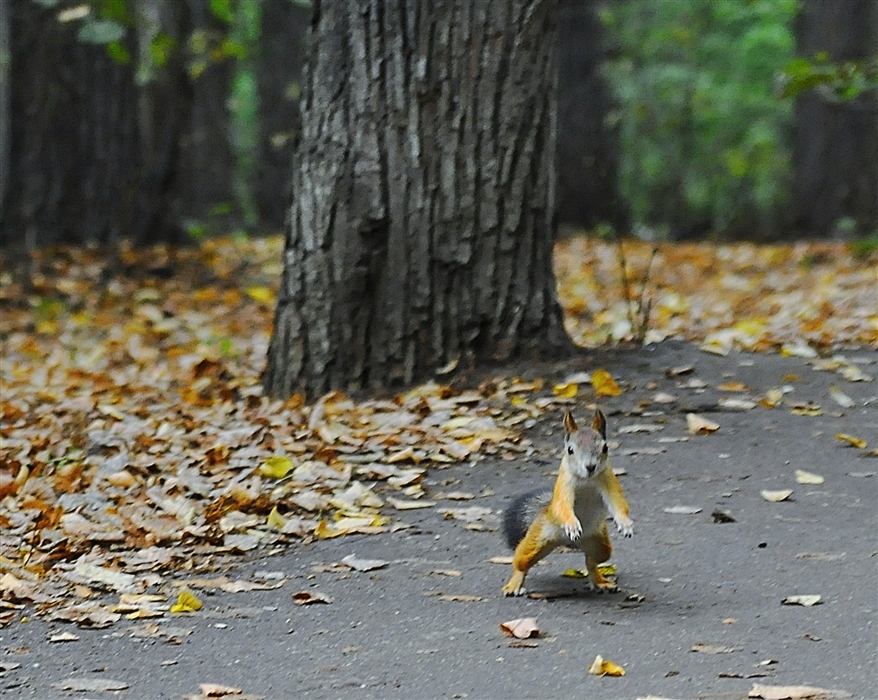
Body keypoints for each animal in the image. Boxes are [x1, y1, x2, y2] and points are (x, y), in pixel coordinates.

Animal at [502, 410, 632, 596]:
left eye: (605, 447)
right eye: (570, 450)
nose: (590, 466)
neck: (586, 480)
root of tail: (567, 542)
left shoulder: (609, 479)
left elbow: (618, 503)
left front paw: (625, 523)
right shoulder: (565, 483)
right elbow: (562, 506)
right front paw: (572, 524)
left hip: (598, 543)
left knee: (592, 560)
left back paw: (599, 581)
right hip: (540, 536)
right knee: (522, 562)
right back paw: (514, 584)